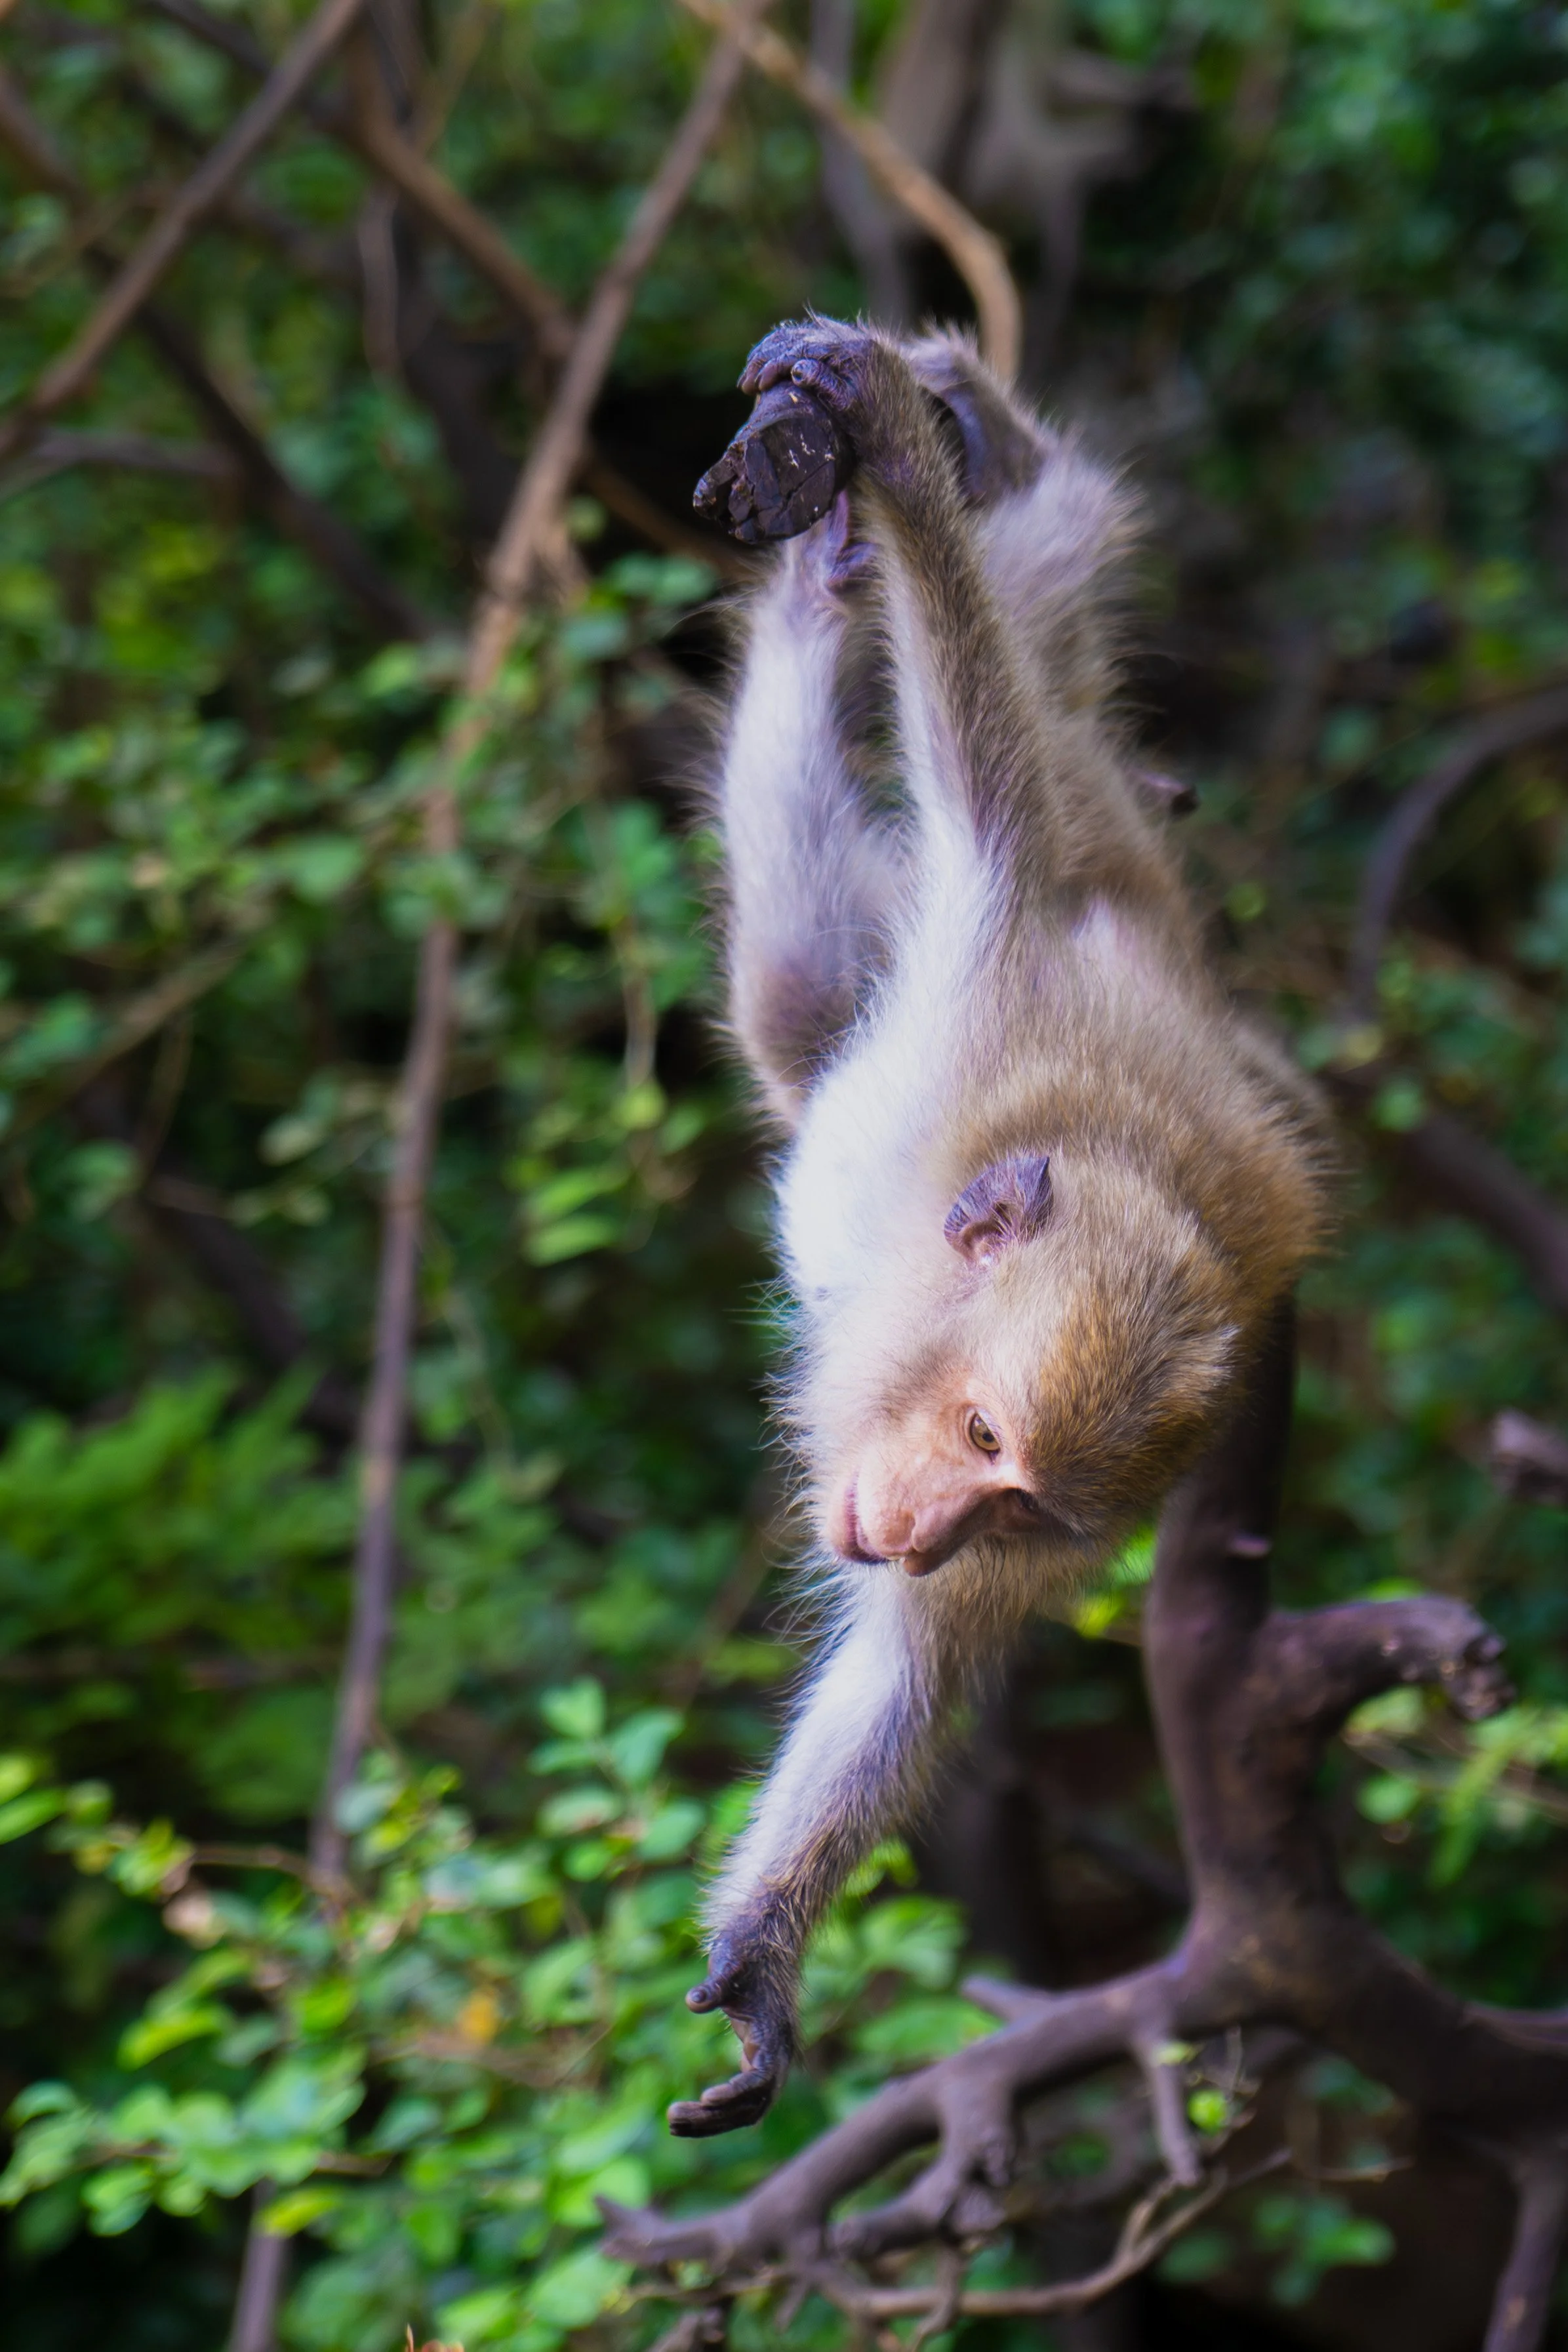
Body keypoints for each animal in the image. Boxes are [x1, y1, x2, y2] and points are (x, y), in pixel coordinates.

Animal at [667, 317, 1329, 2137]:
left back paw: (935, 493)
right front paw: (892, 462)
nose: (916, 1528)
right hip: (1025, 819)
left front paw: (763, 1959)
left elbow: (901, 1663)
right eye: (978, 1429)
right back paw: (899, 497)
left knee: (797, 997)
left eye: (1012, 1495)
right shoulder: (988, 954)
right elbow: (977, 753)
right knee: (832, 935)